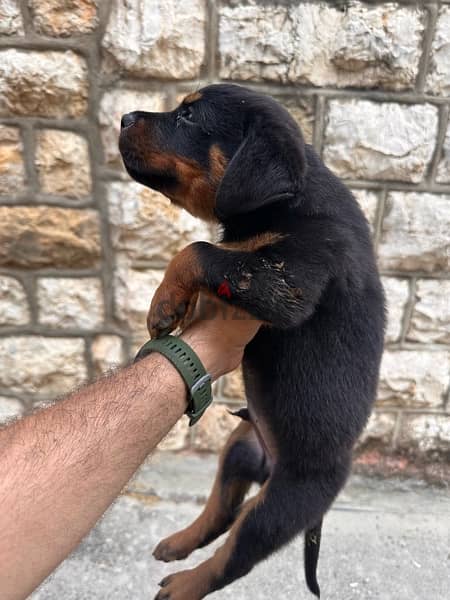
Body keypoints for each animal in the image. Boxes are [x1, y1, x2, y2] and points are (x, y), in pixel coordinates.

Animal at [118, 84, 384, 600]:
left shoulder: (289, 279)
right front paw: (179, 307)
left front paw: (164, 304)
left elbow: (199, 250)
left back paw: (182, 586)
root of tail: (270, 461)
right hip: (239, 449)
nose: (123, 117)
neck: (289, 199)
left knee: (233, 556)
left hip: (281, 505)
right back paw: (178, 543)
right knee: (222, 513)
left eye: (188, 116)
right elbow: (211, 251)